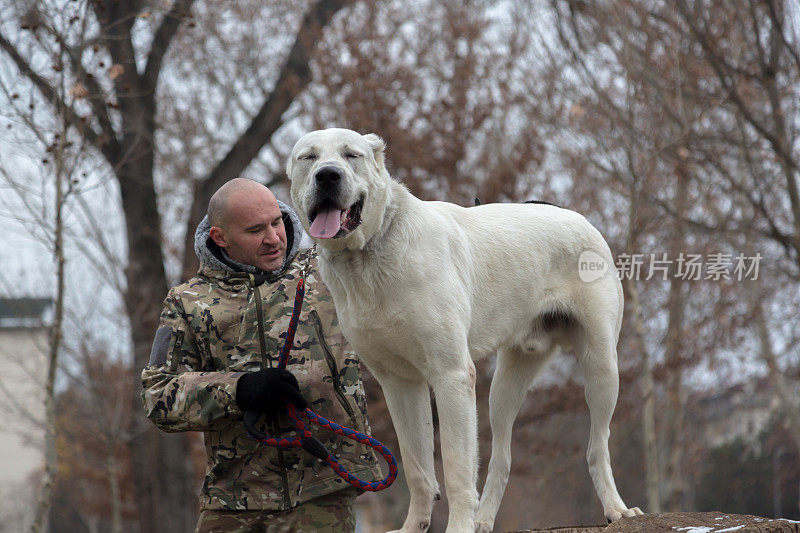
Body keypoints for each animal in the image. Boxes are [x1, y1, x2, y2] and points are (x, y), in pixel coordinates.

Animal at [290, 127, 644, 528]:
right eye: (308, 157)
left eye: (352, 155)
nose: (327, 176)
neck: (369, 255)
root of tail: (577, 218)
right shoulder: (399, 383)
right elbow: (418, 469)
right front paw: (414, 527)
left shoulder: (452, 375)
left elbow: (457, 468)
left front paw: (458, 527)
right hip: (505, 386)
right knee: (503, 458)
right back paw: (483, 521)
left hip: (601, 366)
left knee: (598, 446)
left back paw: (617, 509)